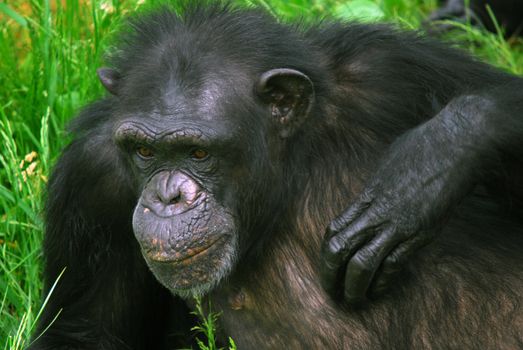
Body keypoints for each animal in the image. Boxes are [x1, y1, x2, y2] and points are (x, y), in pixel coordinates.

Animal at [29, 2, 523, 350]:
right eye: (145, 151)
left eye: (198, 152)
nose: (167, 197)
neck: (284, 181)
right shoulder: (91, 182)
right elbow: (85, 334)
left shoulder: (391, 68)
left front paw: (422, 172)